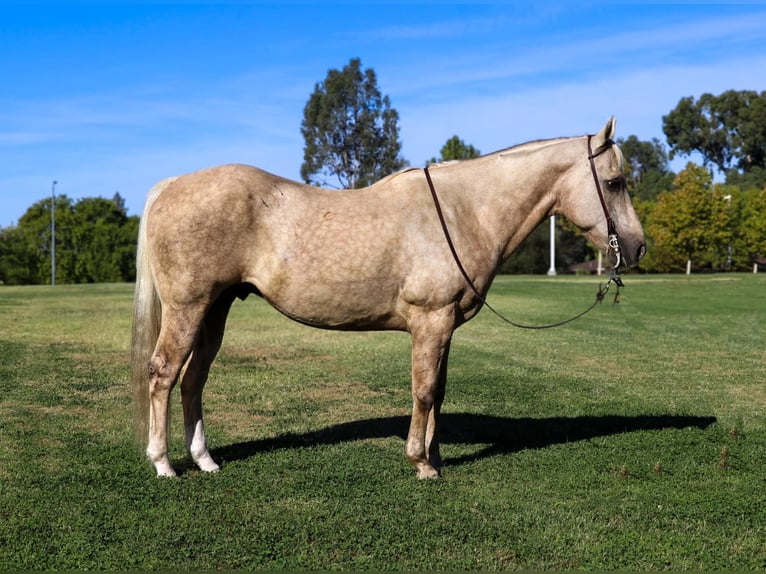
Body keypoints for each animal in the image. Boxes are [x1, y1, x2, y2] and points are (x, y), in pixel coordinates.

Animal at [130, 117, 646, 478]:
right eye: (615, 183)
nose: (638, 247)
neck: (463, 211)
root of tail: (170, 186)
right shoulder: (430, 321)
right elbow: (424, 390)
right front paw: (420, 462)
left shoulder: (443, 326)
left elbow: (438, 390)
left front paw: (436, 456)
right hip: (188, 308)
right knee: (163, 374)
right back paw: (164, 463)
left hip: (214, 309)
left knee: (193, 380)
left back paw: (205, 460)